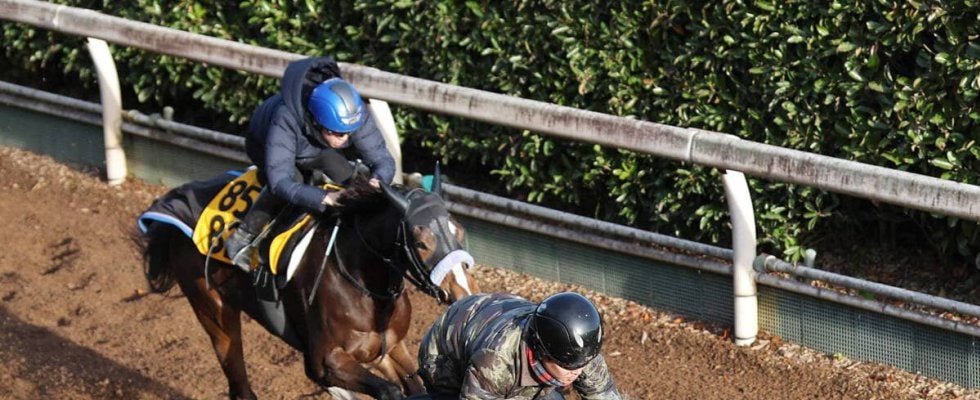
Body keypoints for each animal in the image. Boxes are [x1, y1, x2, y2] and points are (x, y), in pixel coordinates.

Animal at [139, 172, 479, 400]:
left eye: (460, 231)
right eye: (421, 243)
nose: (464, 292)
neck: (367, 290)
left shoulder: (389, 348)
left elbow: (413, 382)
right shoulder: (324, 362)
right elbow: (389, 390)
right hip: (214, 311)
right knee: (237, 377)